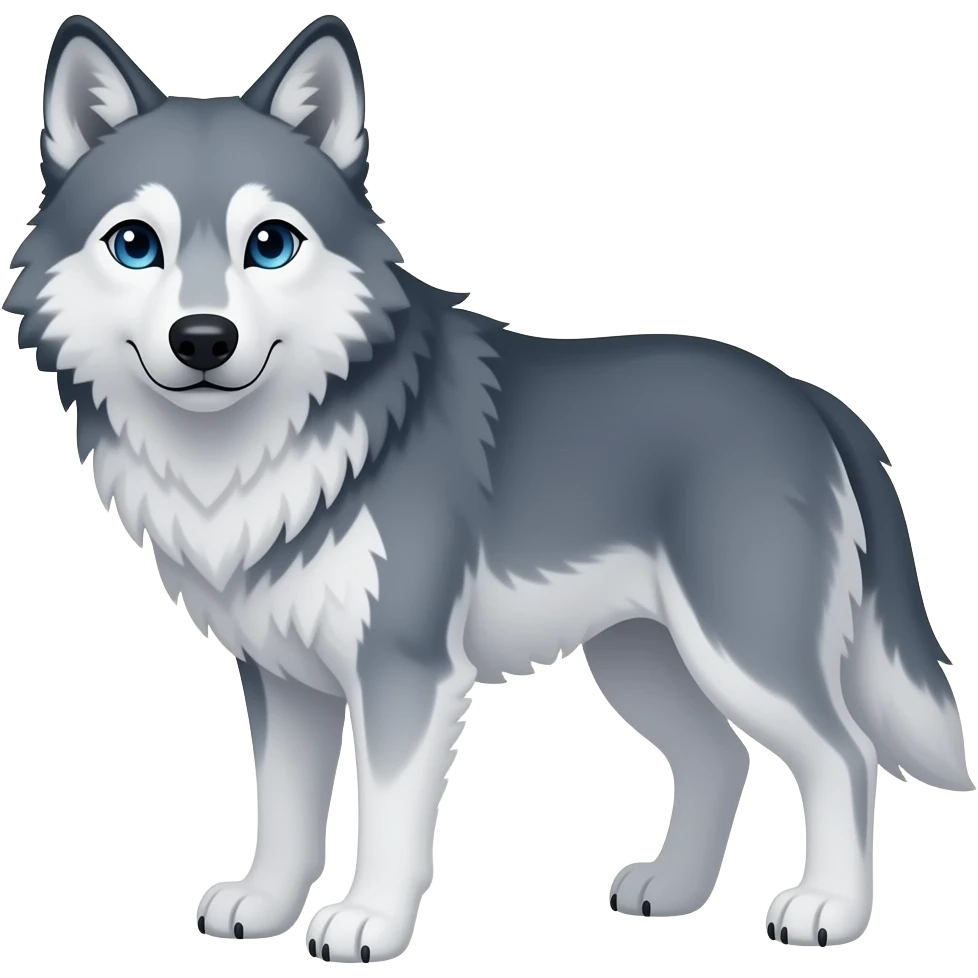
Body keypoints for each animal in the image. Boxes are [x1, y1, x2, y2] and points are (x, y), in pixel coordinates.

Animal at [5, 11, 973, 962]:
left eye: (270, 245)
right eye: (136, 245)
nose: (203, 338)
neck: (261, 450)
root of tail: (811, 398)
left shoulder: (405, 667)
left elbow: (386, 815)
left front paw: (367, 921)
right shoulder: (284, 675)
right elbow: (283, 810)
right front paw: (265, 906)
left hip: (742, 652)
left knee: (844, 756)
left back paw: (828, 910)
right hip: (641, 657)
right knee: (718, 759)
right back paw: (671, 892)